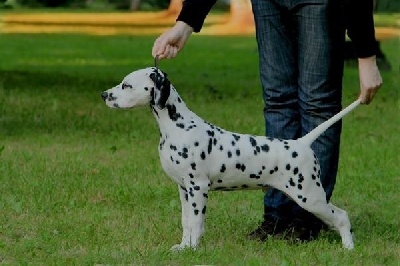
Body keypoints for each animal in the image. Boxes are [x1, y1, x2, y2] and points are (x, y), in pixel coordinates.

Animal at [101, 67, 360, 251]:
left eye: (126, 85)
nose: (104, 94)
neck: (177, 127)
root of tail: (301, 143)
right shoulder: (183, 189)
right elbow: (186, 221)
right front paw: (183, 247)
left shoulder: (198, 188)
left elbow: (196, 223)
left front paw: (193, 249)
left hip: (310, 196)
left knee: (342, 216)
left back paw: (348, 247)